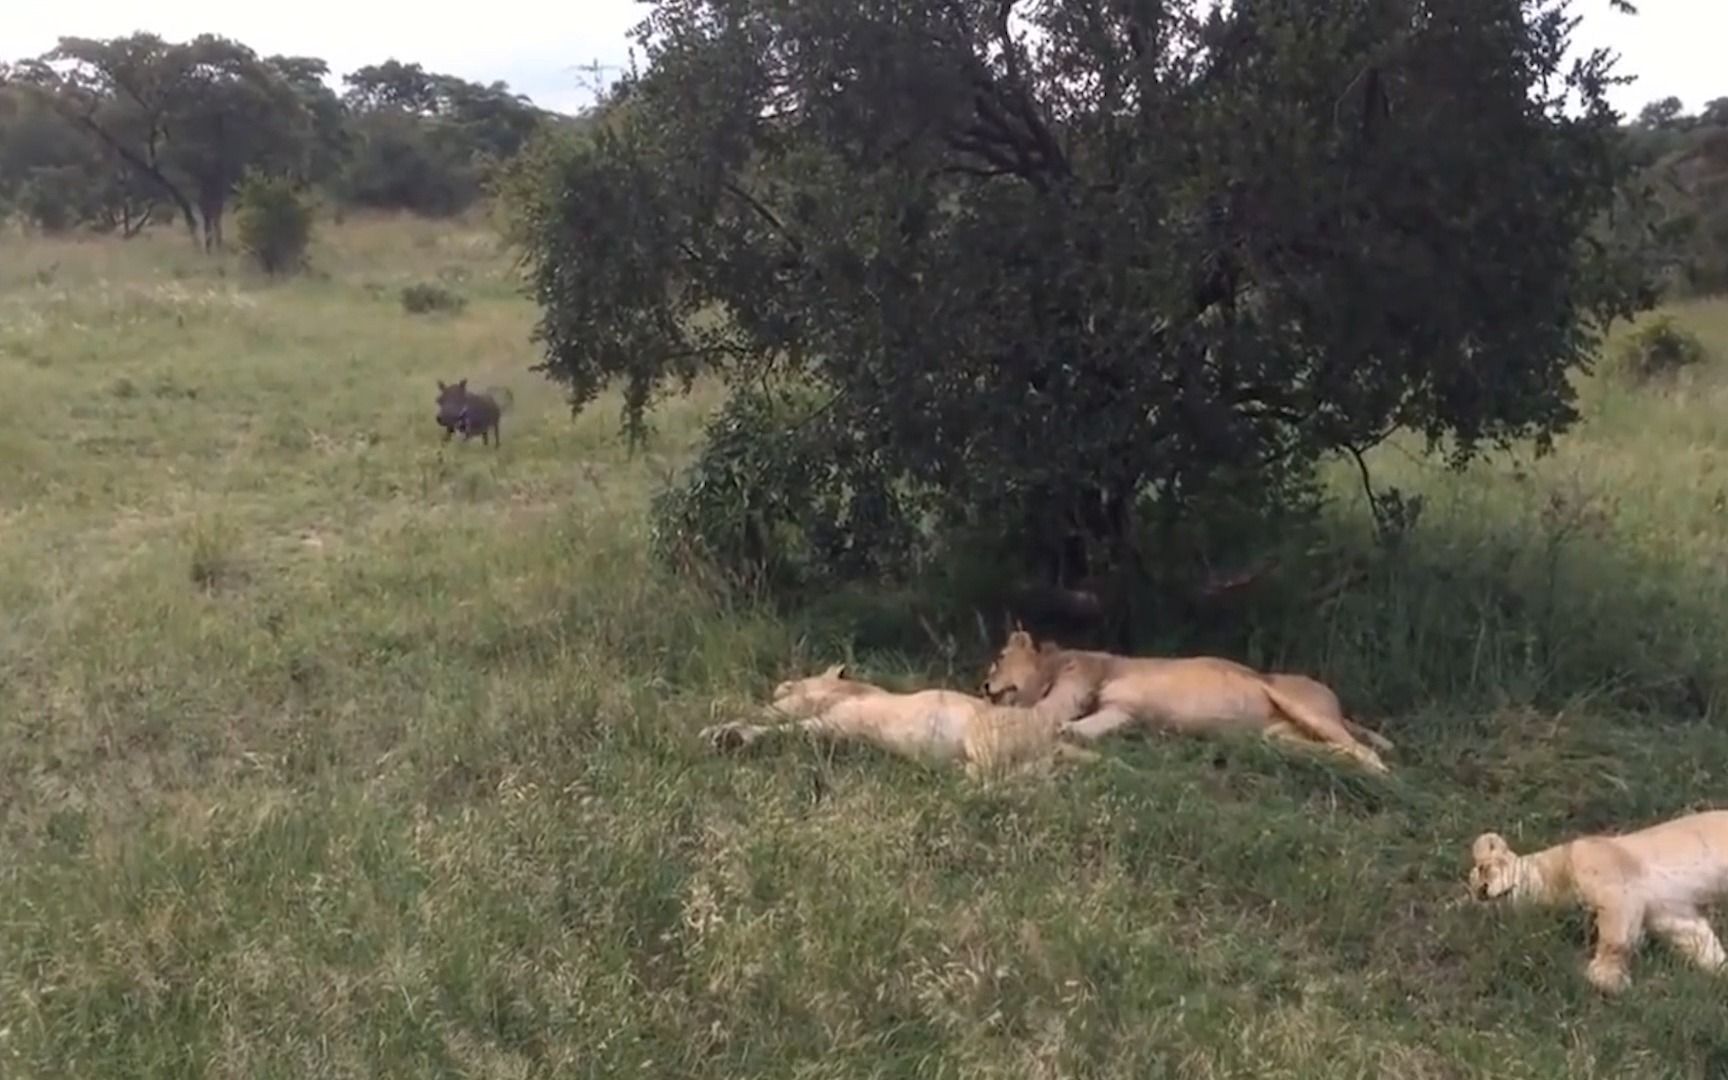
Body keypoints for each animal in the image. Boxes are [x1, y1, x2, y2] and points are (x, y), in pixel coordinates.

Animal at [694, 660, 1099, 777]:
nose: (781, 685)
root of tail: (1054, 737)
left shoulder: (832, 723)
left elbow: (779, 728)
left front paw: (726, 734)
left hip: (983, 739)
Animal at [981, 628, 1396, 770]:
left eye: (997, 659)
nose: (983, 685)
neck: (1053, 664)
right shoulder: (1120, 712)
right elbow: (1083, 728)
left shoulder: (1074, 692)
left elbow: (1050, 715)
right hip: (1280, 737)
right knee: (1340, 748)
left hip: (1299, 705)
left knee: (1365, 750)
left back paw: (1383, 777)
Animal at [1465, 808, 1728, 995]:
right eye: (1475, 894)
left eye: (1484, 868)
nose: (1482, 892)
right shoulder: (1670, 914)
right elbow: (1701, 940)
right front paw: (1720, 971)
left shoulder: (1618, 887)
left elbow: (1615, 938)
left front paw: (1604, 978)